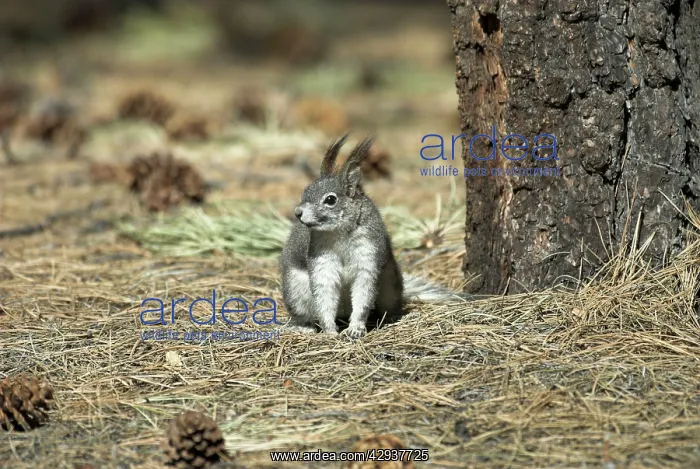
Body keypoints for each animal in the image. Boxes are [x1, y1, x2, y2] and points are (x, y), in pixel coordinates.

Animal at [279, 134, 470, 339]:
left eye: (330, 200)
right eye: (305, 191)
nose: (298, 213)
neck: (339, 233)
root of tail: (343, 312)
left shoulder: (367, 256)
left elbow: (363, 295)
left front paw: (355, 328)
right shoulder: (322, 261)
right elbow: (325, 295)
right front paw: (330, 330)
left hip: (390, 284)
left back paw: (395, 317)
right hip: (295, 290)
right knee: (304, 312)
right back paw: (303, 326)